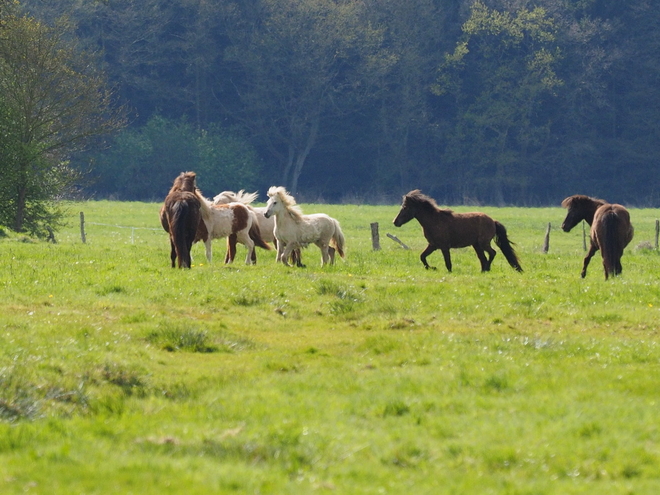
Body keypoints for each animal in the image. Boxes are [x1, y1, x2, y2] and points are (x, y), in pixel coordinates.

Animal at [390, 191, 524, 276]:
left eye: (405, 207)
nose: (395, 222)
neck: (434, 220)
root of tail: (493, 221)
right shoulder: (432, 245)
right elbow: (422, 257)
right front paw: (432, 268)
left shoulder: (444, 247)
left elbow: (448, 262)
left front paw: (444, 271)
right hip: (476, 245)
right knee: (483, 258)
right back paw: (483, 271)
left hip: (483, 243)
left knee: (492, 253)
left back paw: (487, 269)